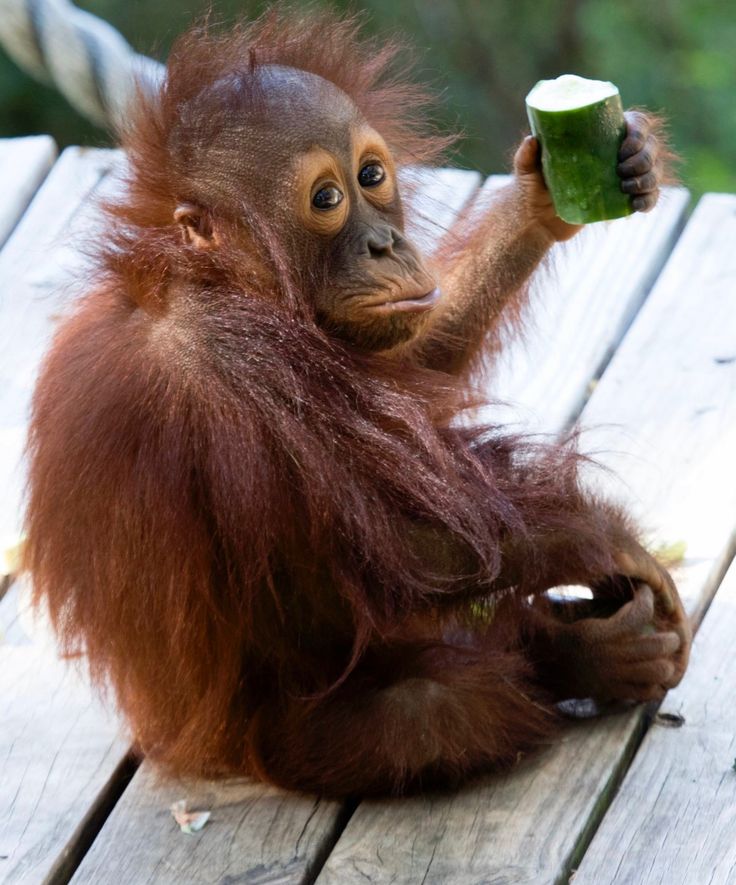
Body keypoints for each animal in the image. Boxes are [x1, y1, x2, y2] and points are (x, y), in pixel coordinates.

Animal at [25, 8, 690, 797]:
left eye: (372, 176)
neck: (213, 277)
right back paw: (585, 656)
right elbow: (406, 540)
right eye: (326, 198)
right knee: (441, 703)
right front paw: (609, 538)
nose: (385, 243)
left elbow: (410, 366)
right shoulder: (233, 350)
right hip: (269, 743)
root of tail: (172, 743)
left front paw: (552, 191)